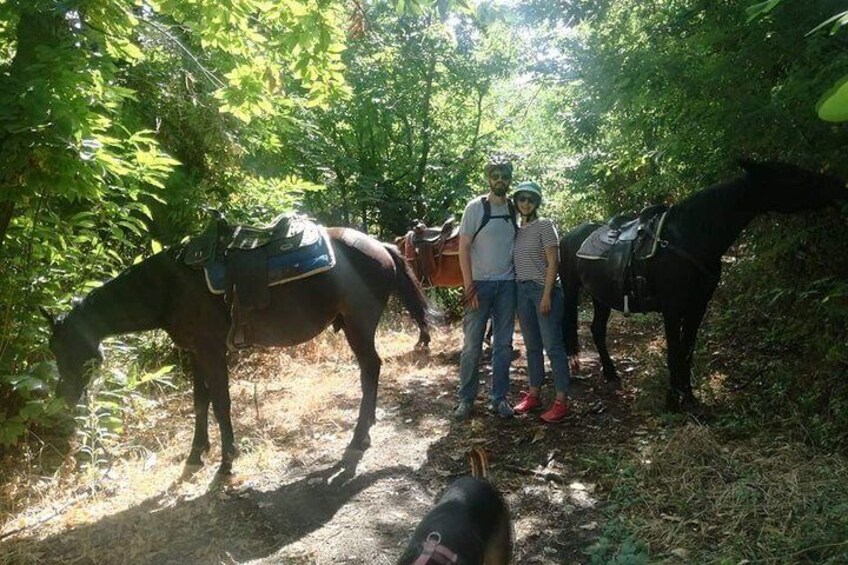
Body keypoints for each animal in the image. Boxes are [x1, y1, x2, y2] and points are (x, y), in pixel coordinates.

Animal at [42, 225, 428, 472]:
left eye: (64, 348)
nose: (63, 397)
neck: (169, 287)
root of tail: (381, 247)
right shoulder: (195, 352)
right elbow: (200, 401)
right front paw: (197, 453)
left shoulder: (213, 350)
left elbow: (221, 402)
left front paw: (228, 459)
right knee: (370, 370)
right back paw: (368, 425)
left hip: (359, 327)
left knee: (370, 369)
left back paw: (359, 436)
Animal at [560, 159, 844, 410]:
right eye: (793, 174)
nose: (838, 184)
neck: (690, 237)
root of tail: (568, 235)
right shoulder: (672, 309)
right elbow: (674, 353)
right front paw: (673, 401)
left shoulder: (697, 307)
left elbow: (687, 351)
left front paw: (688, 396)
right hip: (572, 290)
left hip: (601, 296)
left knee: (597, 330)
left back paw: (610, 372)